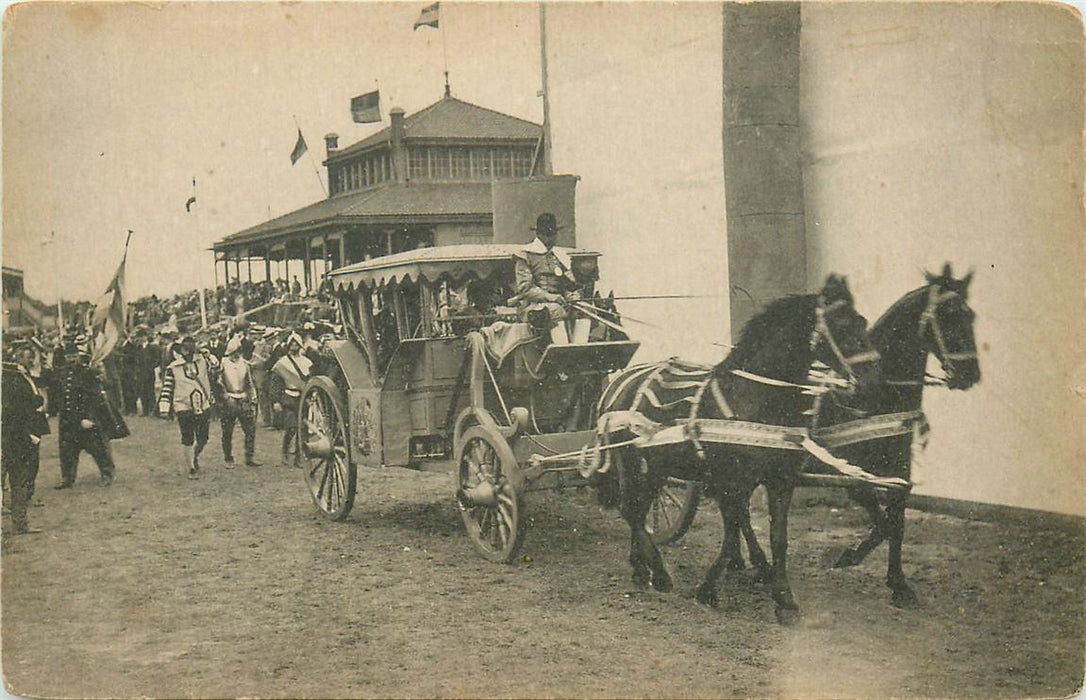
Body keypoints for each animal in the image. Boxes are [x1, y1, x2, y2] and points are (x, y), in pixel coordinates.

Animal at [599, 273, 886, 620]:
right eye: (841, 326)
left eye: (862, 321)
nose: (873, 382)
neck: (754, 396)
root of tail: (620, 380)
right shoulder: (732, 482)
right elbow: (733, 529)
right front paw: (710, 589)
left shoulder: (780, 480)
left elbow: (777, 537)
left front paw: (784, 598)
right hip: (629, 459)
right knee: (630, 509)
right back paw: (659, 573)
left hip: (657, 466)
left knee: (638, 509)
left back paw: (642, 569)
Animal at [725, 262, 981, 607]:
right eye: (949, 314)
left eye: (971, 315)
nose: (971, 375)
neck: (879, 396)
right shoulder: (853, 475)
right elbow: (884, 521)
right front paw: (847, 556)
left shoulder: (900, 468)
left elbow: (896, 522)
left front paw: (899, 583)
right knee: (737, 506)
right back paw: (758, 564)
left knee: (734, 506)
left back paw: (739, 560)